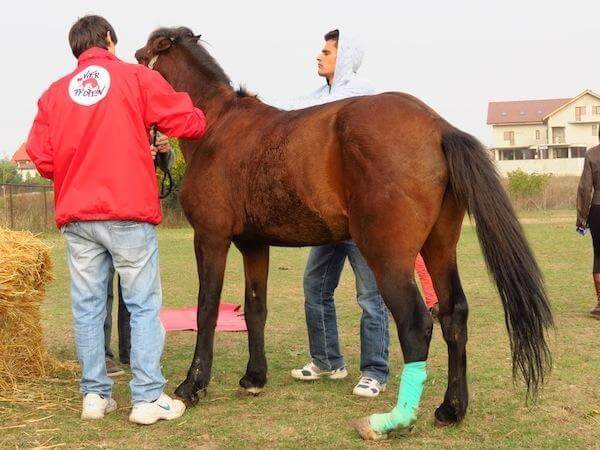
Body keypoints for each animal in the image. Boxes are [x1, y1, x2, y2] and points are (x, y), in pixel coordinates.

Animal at [136, 28, 552, 440]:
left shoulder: (211, 238)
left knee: (416, 325)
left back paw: (393, 420)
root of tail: (438, 127)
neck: (217, 126)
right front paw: (254, 377)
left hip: (388, 257)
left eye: (141, 59)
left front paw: (193, 385)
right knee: (454, 316)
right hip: (438, 247)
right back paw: (451, 408)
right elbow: (255, 308)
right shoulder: (254, 245)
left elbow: (206, 309)